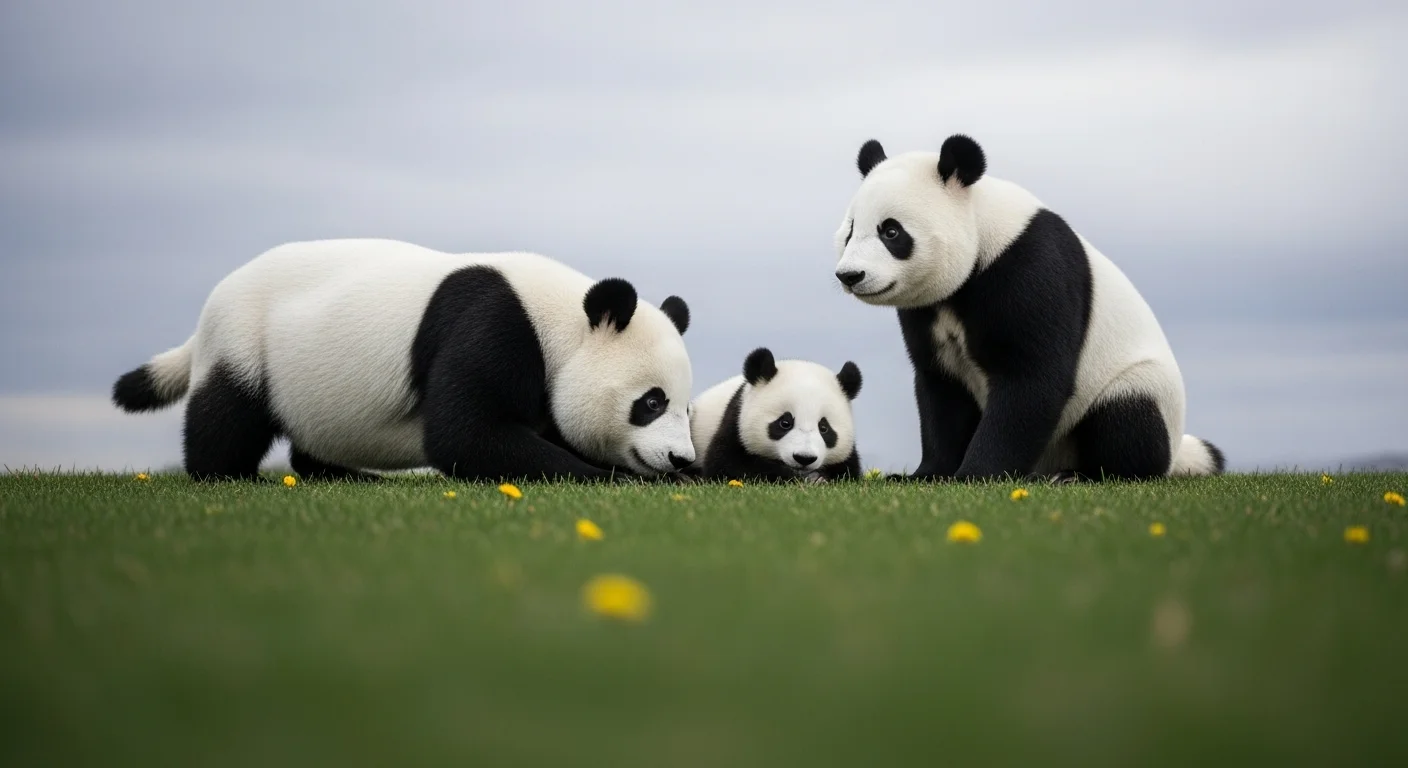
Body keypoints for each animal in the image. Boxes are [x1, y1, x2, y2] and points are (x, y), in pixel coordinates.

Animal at [111, 238, 697, 483]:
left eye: (686, 409)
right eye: (650, 402)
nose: (680, 459)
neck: (561, 318)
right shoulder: (494, 325)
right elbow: (465, 434)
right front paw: (618, 478)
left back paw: (341, 474)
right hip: (247, 335)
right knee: (228, 413)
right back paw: (228, 475)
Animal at [687, 347, 863, 483]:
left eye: (824, 428)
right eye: (785, 423)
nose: (804, 458)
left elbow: (849, 471)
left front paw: (819, 478)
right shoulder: (735, 422)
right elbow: (728, 466)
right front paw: (803, 478)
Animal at [833, 133, 1225, 482]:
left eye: (891, 232)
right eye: (849, 232)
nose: (850, 275)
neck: (983, 231)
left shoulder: (1029, 265)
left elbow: (1032, 377)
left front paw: (976, 474)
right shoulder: (928, 310)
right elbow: (941, 388)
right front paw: (925, 474)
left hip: (1134, 382)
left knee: (1128, 421)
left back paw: (1082, 475)